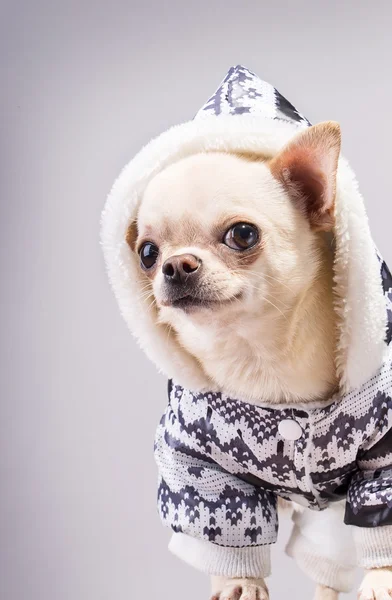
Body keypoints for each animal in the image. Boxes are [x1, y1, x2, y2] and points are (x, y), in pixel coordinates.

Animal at [102, 64, 392, 600]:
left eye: (242, 234)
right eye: (147, 252)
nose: (175, 265)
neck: (260, 352)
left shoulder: (385, 453)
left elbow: (380, 522)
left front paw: (381, 578)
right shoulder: (199, 464)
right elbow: (227, 531)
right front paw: (239, 582)